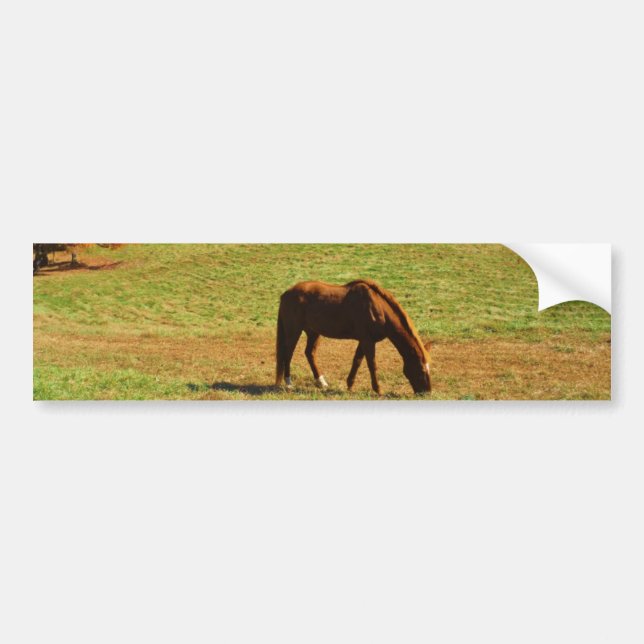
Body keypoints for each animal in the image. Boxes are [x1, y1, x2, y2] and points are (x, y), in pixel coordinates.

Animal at [275, 279, 432, 395]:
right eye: (421, 369)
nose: (427, 392)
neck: (377, 308)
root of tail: (286, 293)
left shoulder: (364, 341)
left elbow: (357, 361)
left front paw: (350, 385)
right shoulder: (368, 341)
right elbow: (372, 364)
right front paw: (378, 389)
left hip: (313, 332)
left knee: (309, 353)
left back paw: (321, 382)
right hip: (293, 331)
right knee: (287, 354)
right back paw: (289, 383)